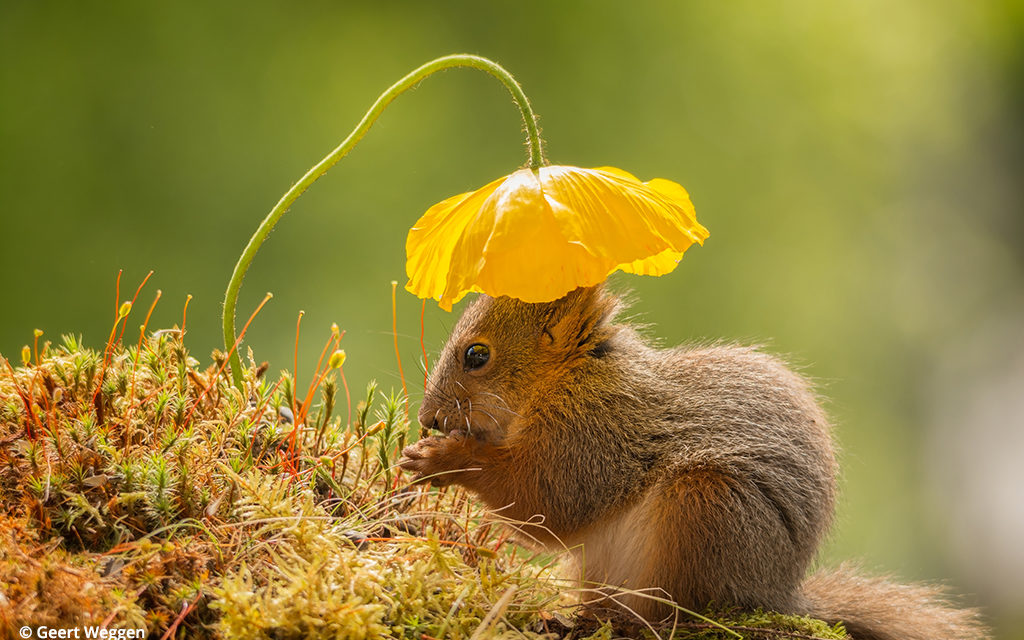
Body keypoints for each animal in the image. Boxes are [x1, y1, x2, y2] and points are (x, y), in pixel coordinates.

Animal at [397, 286, 983, 634]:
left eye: (477, 355)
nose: (427, 417)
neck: (567, 378)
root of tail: (776, 593)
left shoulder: (597, 434)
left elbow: (547, 499)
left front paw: (444, 458)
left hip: (707, 508)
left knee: (674, 611)